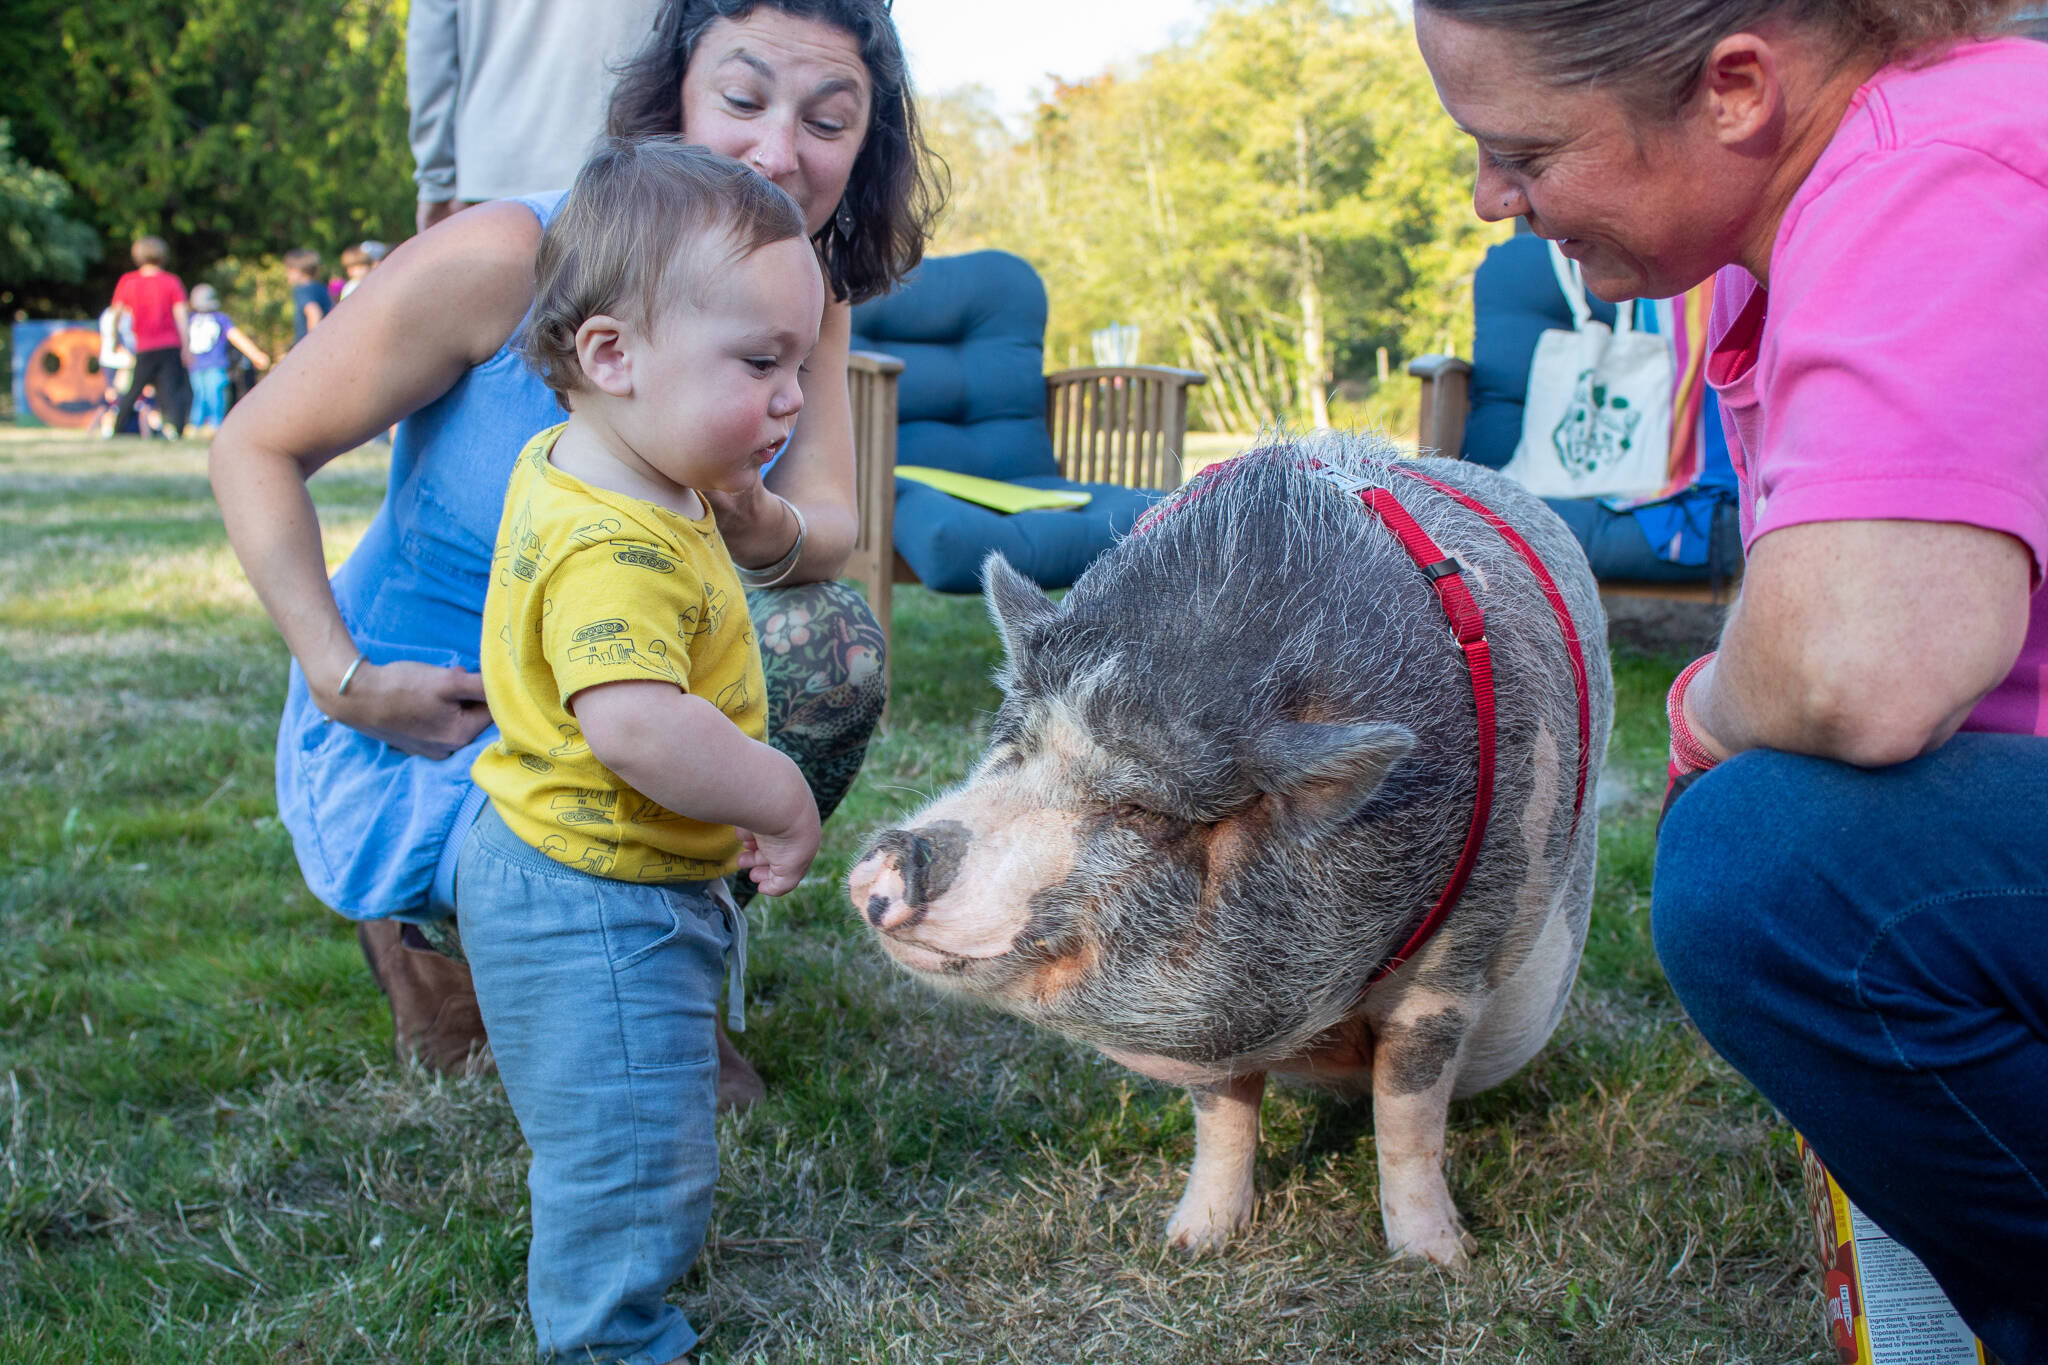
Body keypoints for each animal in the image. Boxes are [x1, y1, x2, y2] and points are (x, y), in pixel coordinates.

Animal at [847, 435, 1613, 1268]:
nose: (890, 853)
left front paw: (1440, 1261)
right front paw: (1191, 1242)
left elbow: (1408, 1115)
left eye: (1140, 809)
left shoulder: (1457, 962)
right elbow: (1222, 1113)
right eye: (1014, 748)